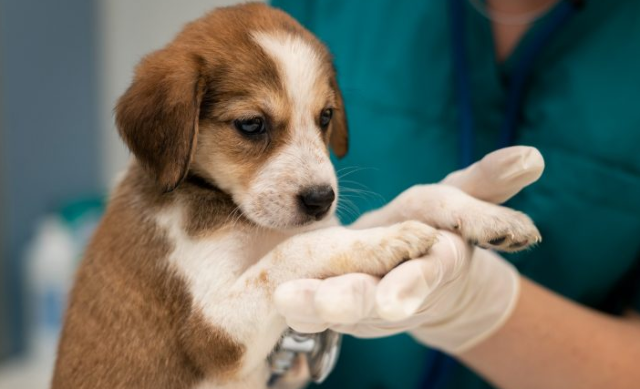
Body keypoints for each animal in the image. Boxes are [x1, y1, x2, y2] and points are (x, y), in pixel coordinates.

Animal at [52, 3, 536, 388]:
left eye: (325, 116)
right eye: (251, 125)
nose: (322, 200)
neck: (235, 212)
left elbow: (415, 196)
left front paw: (487, 214)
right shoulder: (210, 329)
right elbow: (295, 251)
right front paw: (383, 241)